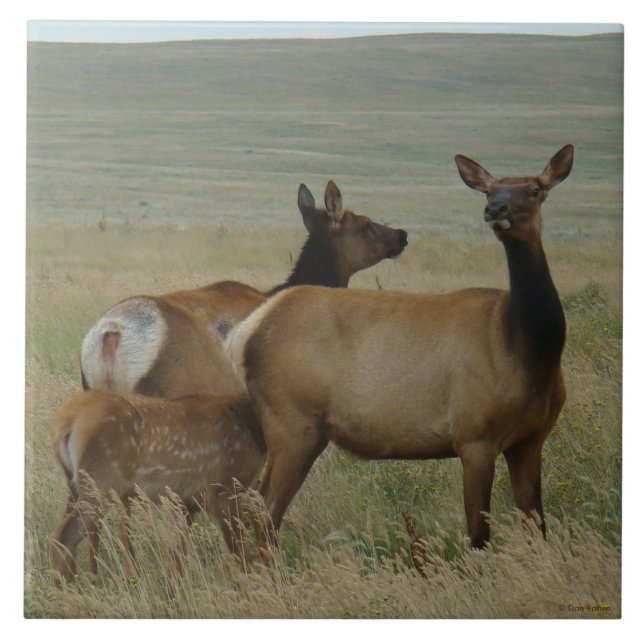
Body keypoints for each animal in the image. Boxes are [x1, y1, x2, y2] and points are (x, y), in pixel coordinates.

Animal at [226, 145, 573, 557]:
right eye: (489, 191)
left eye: (536, 189)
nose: (496, 209)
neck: (529, 350)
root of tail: (246, 331)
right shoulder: (473, 436)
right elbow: (478, 536)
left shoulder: (531, 440)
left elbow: (538, 525)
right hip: (291, 421)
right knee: (260, 508)